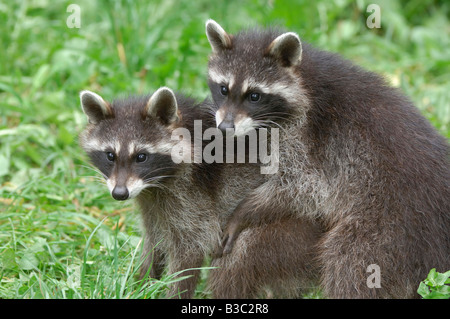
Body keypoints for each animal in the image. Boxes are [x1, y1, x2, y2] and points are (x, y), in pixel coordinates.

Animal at [79, 86, 322, 298]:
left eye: (141, 157)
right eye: (110, 155)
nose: (119, 193)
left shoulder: (192, 199)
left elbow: (190, 252)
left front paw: (175, 292)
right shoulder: (152, 204)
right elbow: (154, 242)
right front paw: (141, 283)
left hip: (289, 233)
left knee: (234, 264)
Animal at [207, 20, 450, 300]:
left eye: (254, 96)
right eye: (223, 89)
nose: (225, 128)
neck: (304, 78)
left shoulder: (308, 141)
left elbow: (303, 188)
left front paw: (245, 210)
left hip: (391, 228)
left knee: (350, 264)